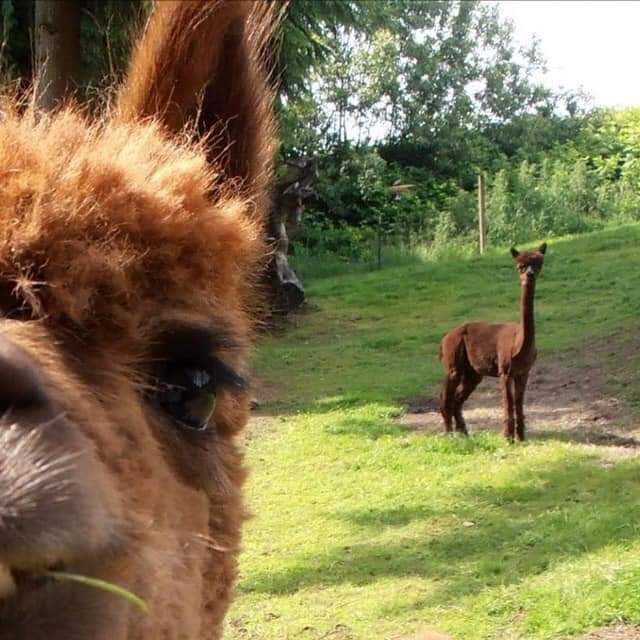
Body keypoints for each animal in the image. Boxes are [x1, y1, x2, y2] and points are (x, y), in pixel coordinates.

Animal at [439, 243, 547, 442]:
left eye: (538, 264)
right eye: (520, 266)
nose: (529, 275)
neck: (519, 343)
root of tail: (445, 338)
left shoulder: (523, 371)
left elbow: (519, 403)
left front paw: (521, 438)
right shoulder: (505, 370)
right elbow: (508, 404)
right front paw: (508, 438)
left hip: (472, 373)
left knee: (457, 399)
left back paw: (464, 433)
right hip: (453, 362)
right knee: (445, 398)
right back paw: (449, 434)